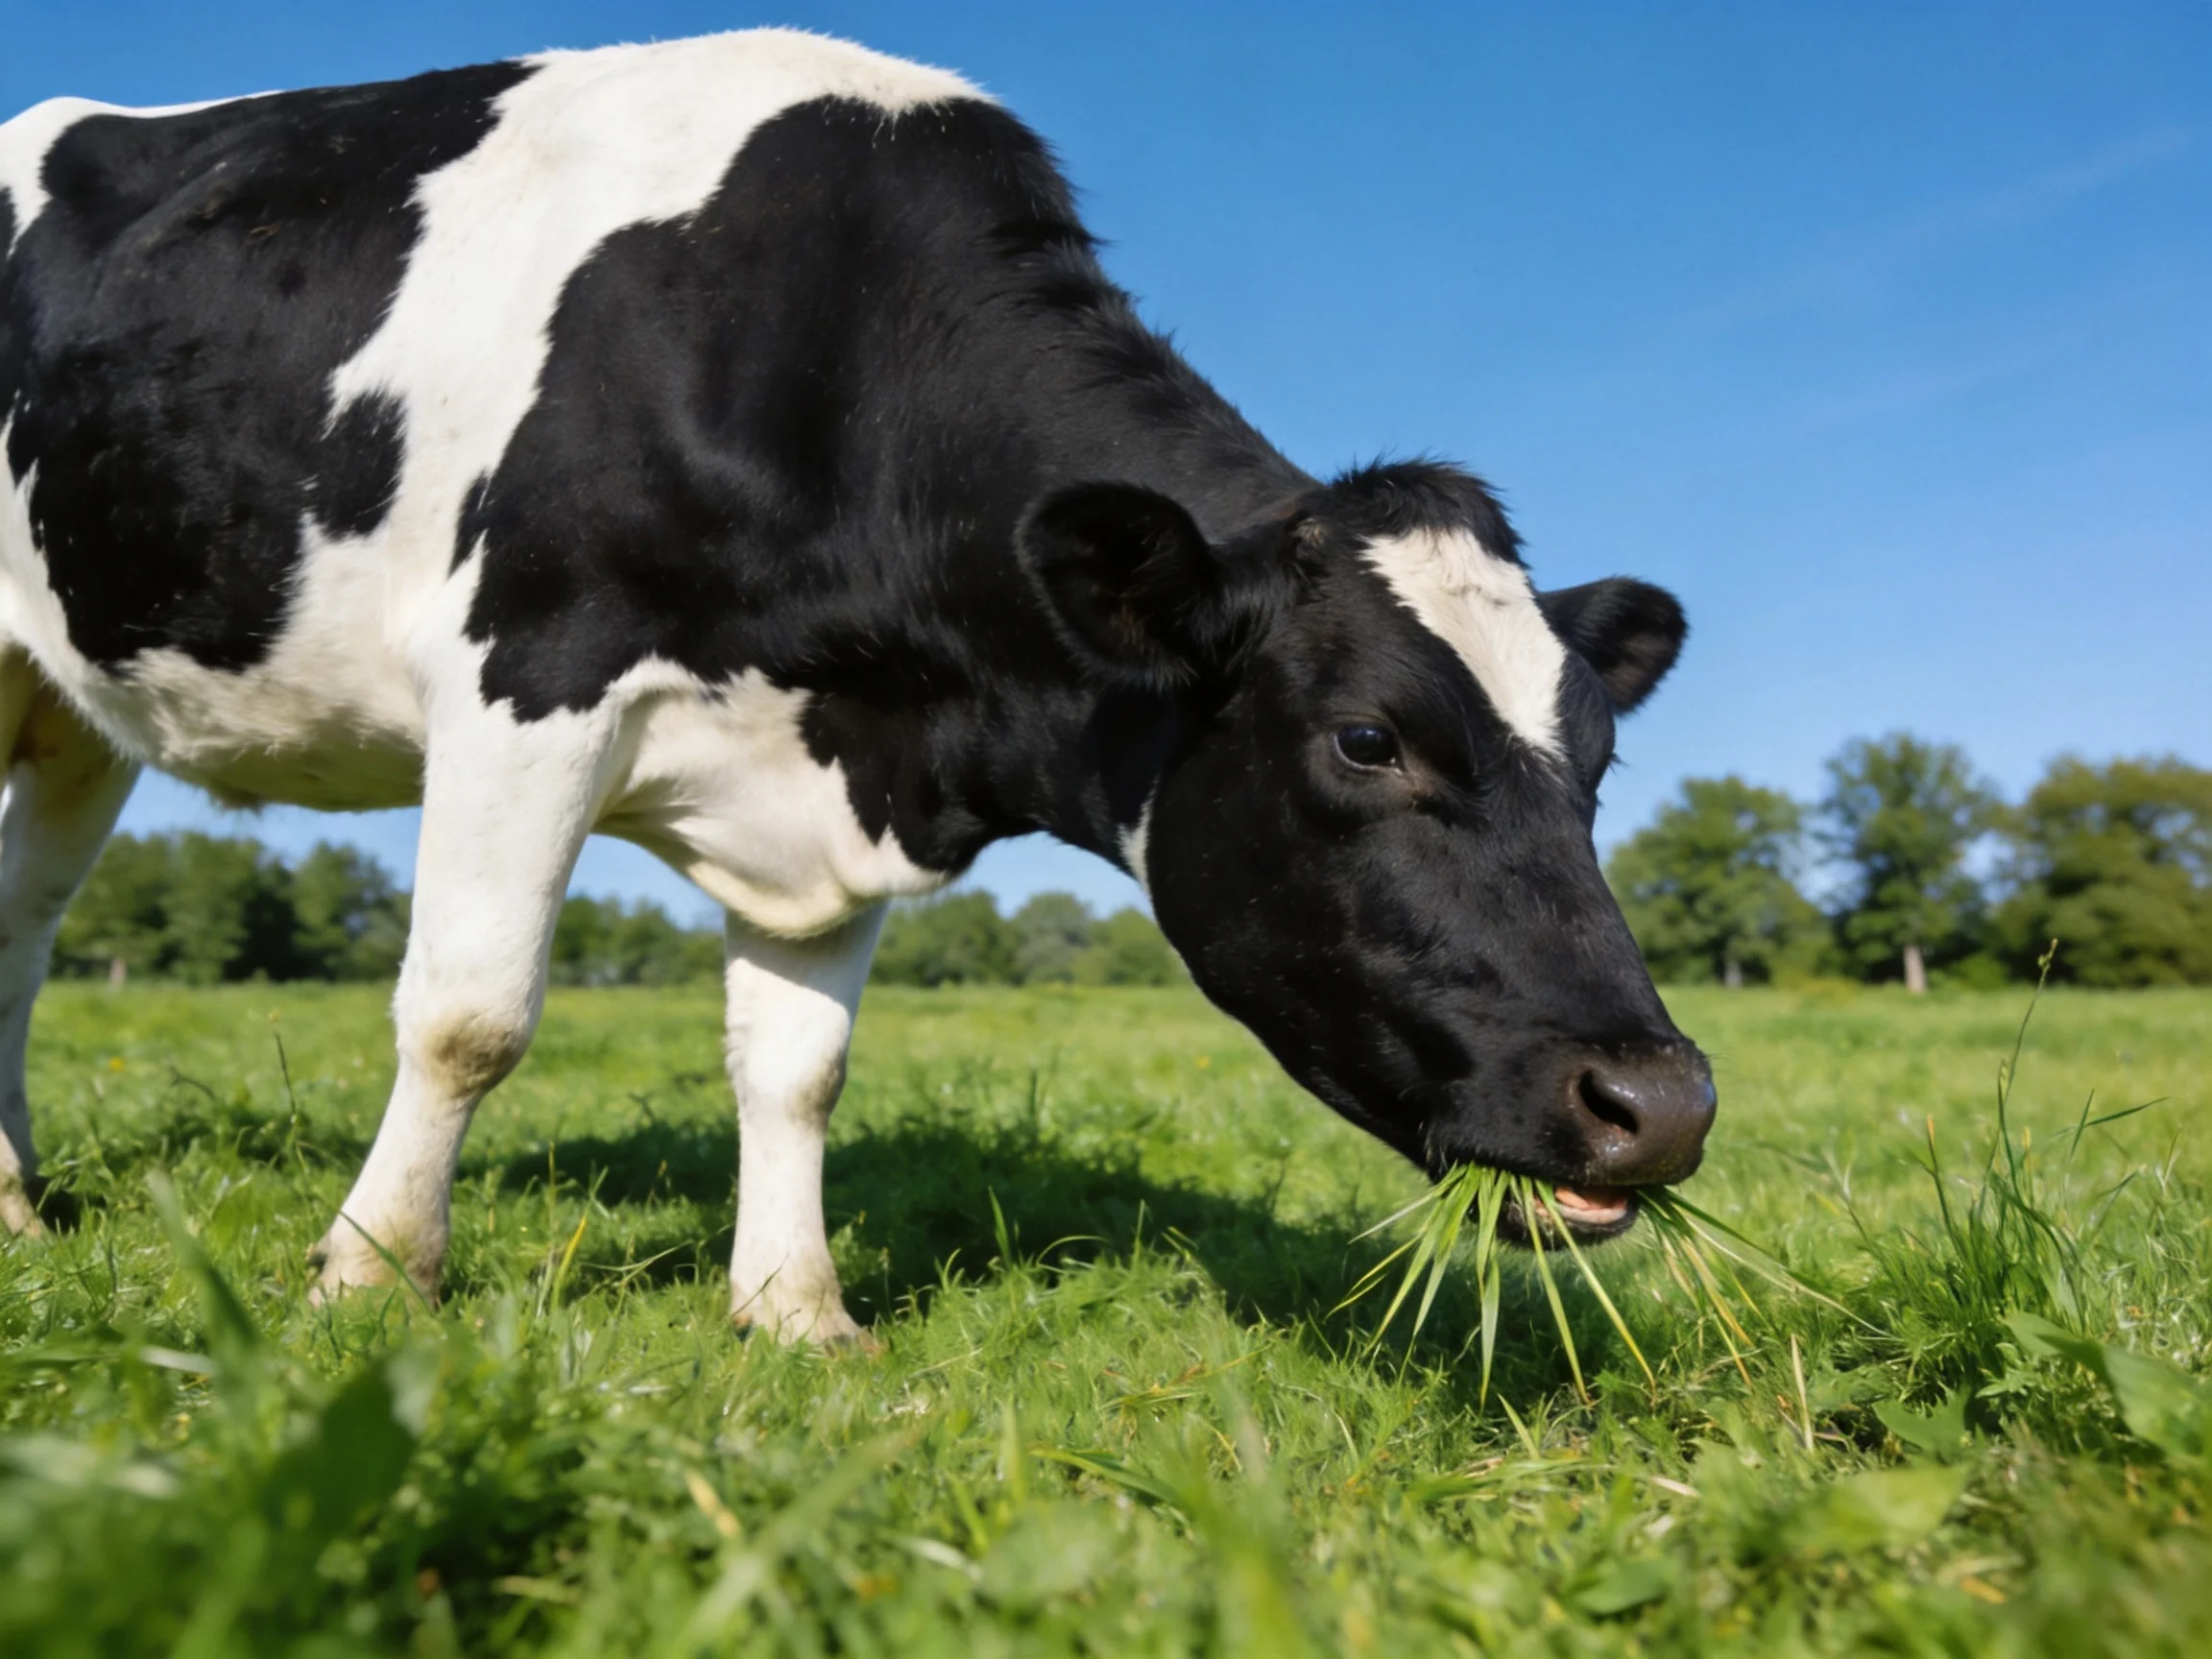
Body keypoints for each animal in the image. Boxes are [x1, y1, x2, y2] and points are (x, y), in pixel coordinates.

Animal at [0, 30, 1714, 1343]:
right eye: (1367, 739)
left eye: (1600, 762)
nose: (1664, 1103)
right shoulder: (525, 675)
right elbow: (469, 1016)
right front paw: (370, 1273)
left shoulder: (842, 777)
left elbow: (798, 1068)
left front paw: (794, 1311)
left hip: (77, 720)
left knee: (22, 928)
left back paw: (19, 1205)